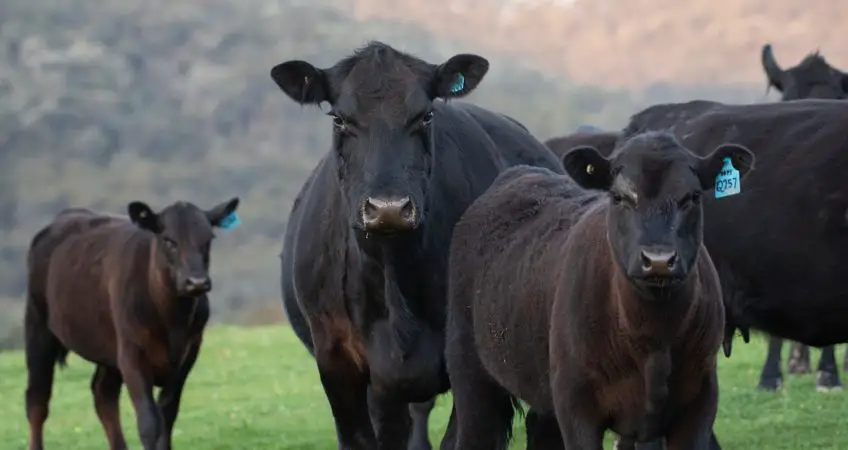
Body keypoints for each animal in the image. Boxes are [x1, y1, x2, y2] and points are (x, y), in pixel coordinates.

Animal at [24, 199, 240, 448]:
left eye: (208, 239)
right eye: (169, 240)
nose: (197, 282)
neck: (173, 321)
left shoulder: (189, 353)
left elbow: (167, 415)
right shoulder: (131, 353)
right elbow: (149, 423)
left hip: (107, 347)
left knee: (103, 395)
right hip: (37, 327)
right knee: (37, 401)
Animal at [444, 131, 756, 450]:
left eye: (692, 197)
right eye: (618, 197)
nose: (658, 260)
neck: (653, 340)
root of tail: (519, 174)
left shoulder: (699, 402)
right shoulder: (576, 405)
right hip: (468, 369)